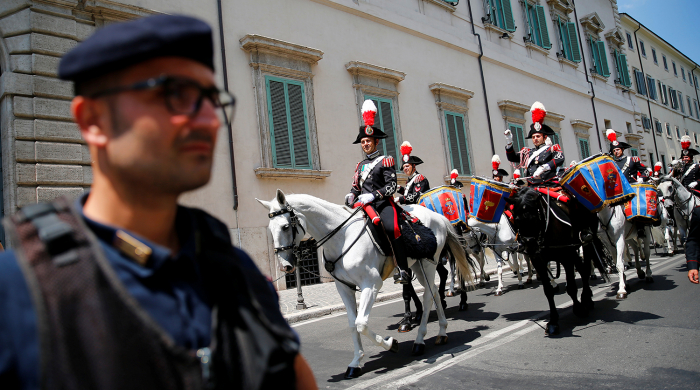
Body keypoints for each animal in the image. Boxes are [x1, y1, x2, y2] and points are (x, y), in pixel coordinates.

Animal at [258, 190, 476, 378]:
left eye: (286, 227)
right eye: (270, 229)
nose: (285, 266)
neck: (342, 237)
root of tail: (437, 216)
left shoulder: (371, 285)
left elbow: (361, 323)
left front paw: (390, 343)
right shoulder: (344, 288)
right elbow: (352, 324)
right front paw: (355, 363)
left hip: (428, 264)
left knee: (428, 296)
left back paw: (420, 341)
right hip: (417, 266)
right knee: (435, 294)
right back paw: (441, 332)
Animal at [506, 186, 608, 336]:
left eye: (536, 217)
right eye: (517, 219)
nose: (530, 246)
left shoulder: (566, 256)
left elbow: (571, 287)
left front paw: (578, 309)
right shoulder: (538, 261)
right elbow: (548, 291)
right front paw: (553, 321)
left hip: (586, 243)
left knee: (584, 268)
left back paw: (586, 299)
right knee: (582, 269)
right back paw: (587, 297)